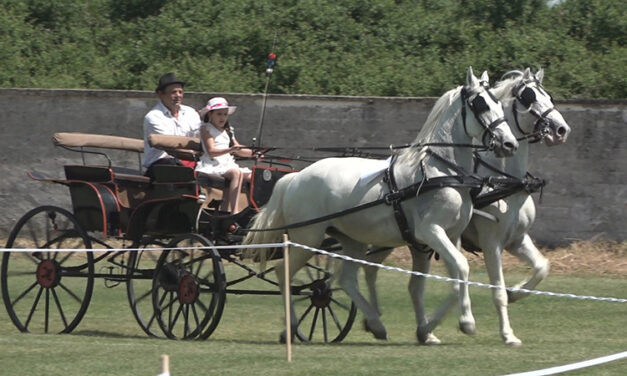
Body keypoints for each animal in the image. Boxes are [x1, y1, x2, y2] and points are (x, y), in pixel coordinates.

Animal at [243, 66, 516, 342]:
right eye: (481, 104)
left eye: (498, 103)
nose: (509, 144)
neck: (440, 170)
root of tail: (294, 178)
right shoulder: (430, 232)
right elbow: (461, 268)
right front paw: (466, 322)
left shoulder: (450, 236)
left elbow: (453, 279)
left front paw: (428, 329)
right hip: (308, 237)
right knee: (283, 272)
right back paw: (292, 326)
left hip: (351, 239)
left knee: (346, 279)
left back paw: (375, 323)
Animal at [364, 68, 576, 346]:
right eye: (528, 97)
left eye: (548, 96)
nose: (561, 129)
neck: (500, 180)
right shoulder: (490, 242)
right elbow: (496, 290)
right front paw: (507, 334)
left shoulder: (516, 239)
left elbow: (542, 267)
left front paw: (516, 292)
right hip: (385, 237)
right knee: (365, 268)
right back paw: (374, 320)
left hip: (407, 242)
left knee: (398, 280)